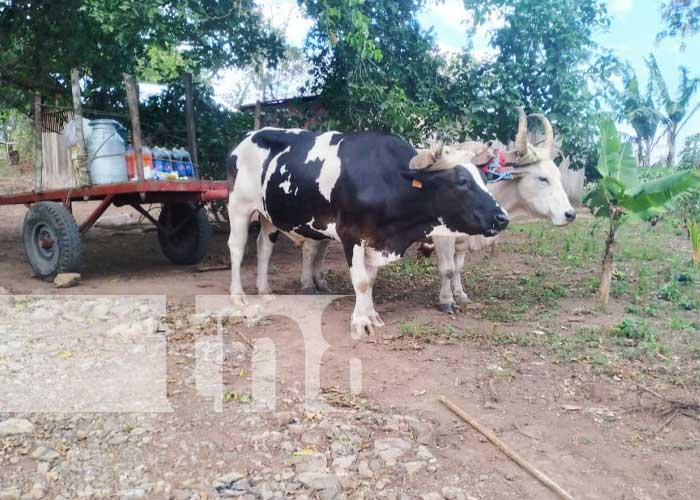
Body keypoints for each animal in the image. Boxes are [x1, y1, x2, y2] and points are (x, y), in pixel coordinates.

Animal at [228, 128, 508, 336]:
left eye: (484, 179)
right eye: (462, 182)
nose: (502, 217)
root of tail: (246, 138)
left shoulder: (377, 238)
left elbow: (369, 281)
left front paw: (371, 315)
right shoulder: (350, 233)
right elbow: (361, 280)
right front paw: (361, 322)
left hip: (268, 215)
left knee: (264, 247)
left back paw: (265, 291)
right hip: (239, 207)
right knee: (238, 248)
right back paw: (238, 297)